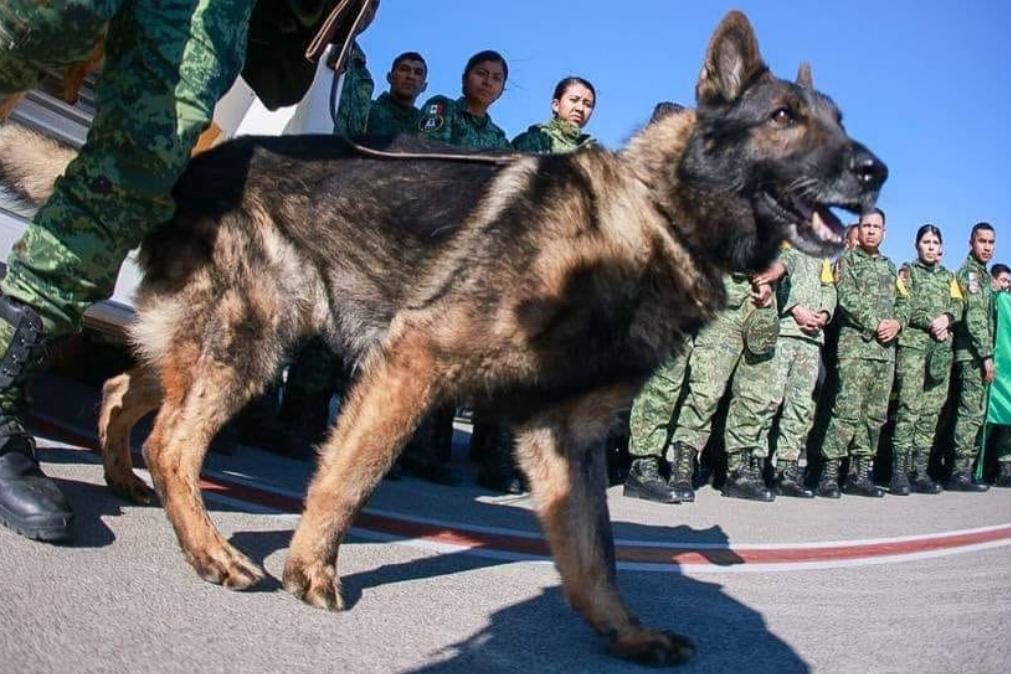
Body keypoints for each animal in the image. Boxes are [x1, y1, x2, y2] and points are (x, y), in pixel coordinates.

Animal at [0, 11, 881, 670]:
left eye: (840, 123)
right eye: (783, 118)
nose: (874, 171)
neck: (654, 217)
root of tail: (193, 168)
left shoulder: (564, 439)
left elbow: (593, 552)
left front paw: (624, 632)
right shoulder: (413, 361)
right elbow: (348, 477)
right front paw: (309, 570)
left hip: (221, 337)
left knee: (125, 388)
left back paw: (124, 479)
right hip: (257, 334)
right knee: (175, 440)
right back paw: (209, 550)